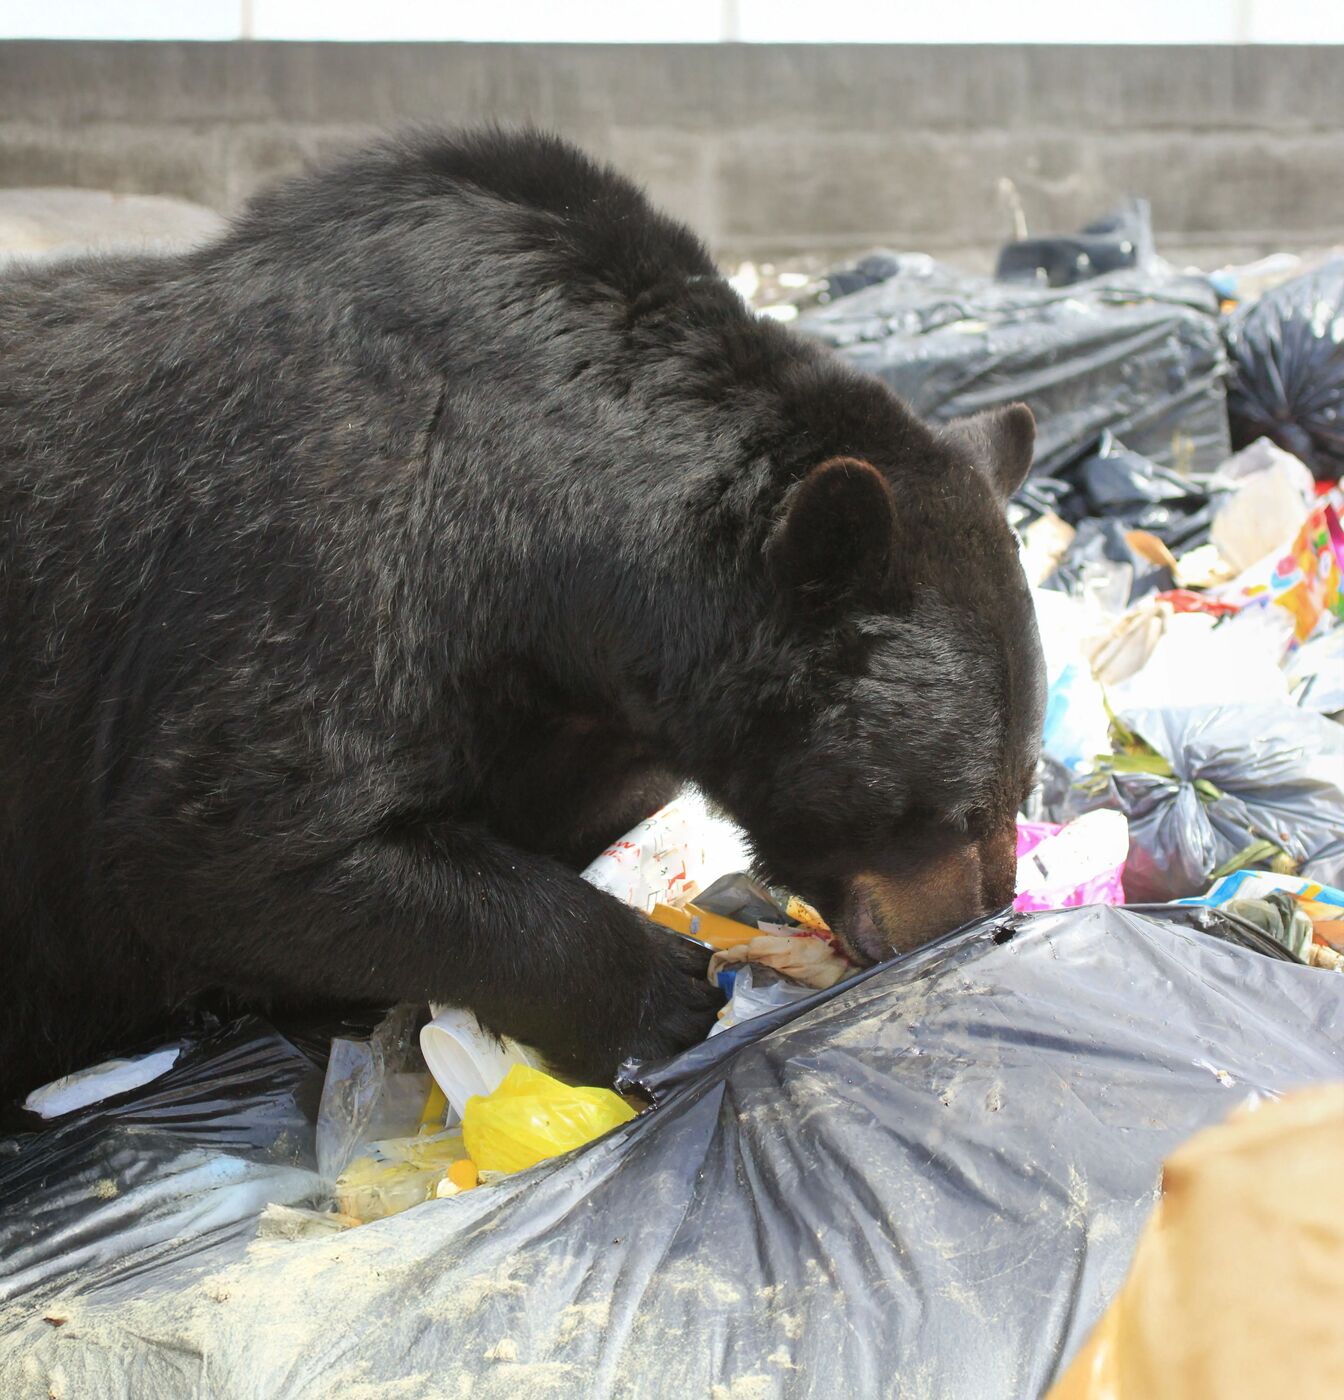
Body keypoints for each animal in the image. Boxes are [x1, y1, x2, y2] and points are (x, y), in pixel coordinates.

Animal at [0, 128, 1044, 1106]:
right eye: (954, 806)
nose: (977, 925)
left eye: (1023, 785)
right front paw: (664, 990)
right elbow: (223, 842)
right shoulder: (332, 550)